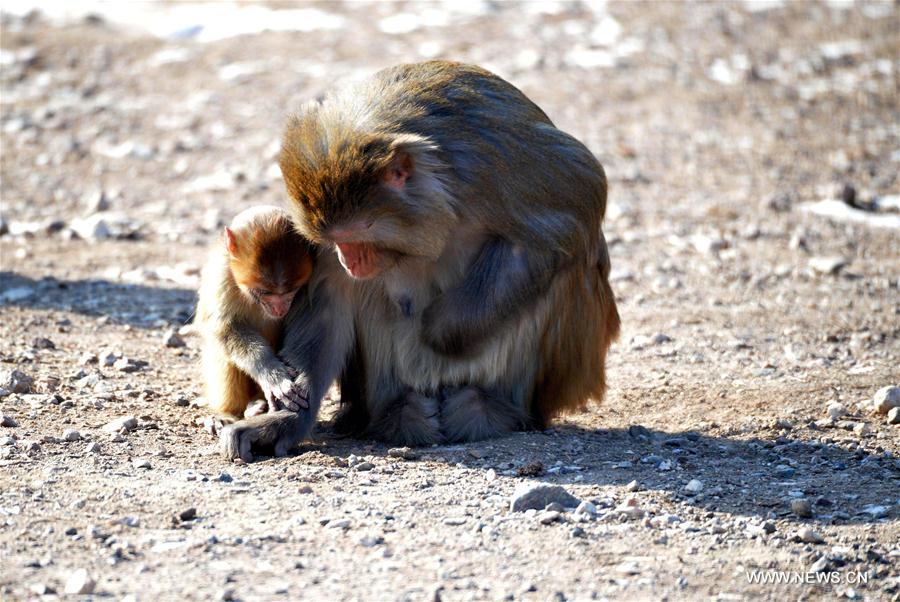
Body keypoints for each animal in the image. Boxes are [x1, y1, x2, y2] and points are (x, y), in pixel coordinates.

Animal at [197, 206, 312, 426]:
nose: (279, 309)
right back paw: (231, 412)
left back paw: (257, 405)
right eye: (265, 292)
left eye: (290, 291)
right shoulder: (221, 275)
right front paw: (271, 374)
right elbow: (224, 328)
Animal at [221, 61, 624, 460]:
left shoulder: (499, 164)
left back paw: (493, 408)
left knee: (575, 259)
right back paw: (397, 412)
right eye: (335, 242)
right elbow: (329, 303)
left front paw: (442, 328)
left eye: (358, 236)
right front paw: (284, 420)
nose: (350, 262)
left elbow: (572, 211)